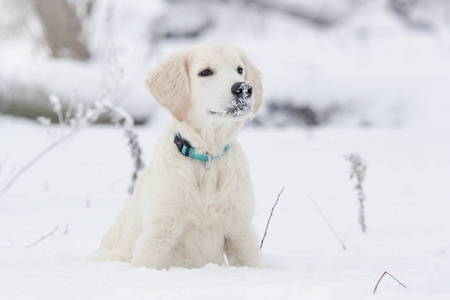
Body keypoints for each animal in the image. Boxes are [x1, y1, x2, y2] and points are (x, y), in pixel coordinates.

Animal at [93, 44, 266, 270]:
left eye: (239, 69)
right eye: (205, 72)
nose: (244, 88)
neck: (207, 157)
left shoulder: (241, 231)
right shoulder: (158, 232)